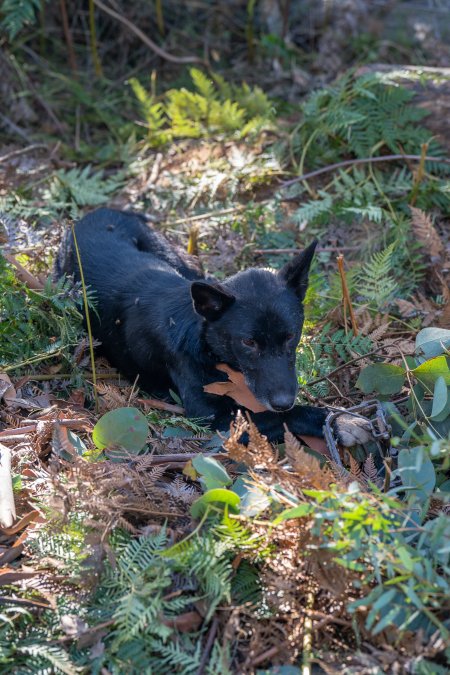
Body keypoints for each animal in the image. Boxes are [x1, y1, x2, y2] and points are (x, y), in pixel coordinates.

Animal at [56, 209, 370, 446]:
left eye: (291, 336)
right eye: (248, 343)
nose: (283, 401)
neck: (203, 340)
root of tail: (100, 211)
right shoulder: (212, 416)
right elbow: (277, 418)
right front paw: (338, 420)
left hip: (178, 257)